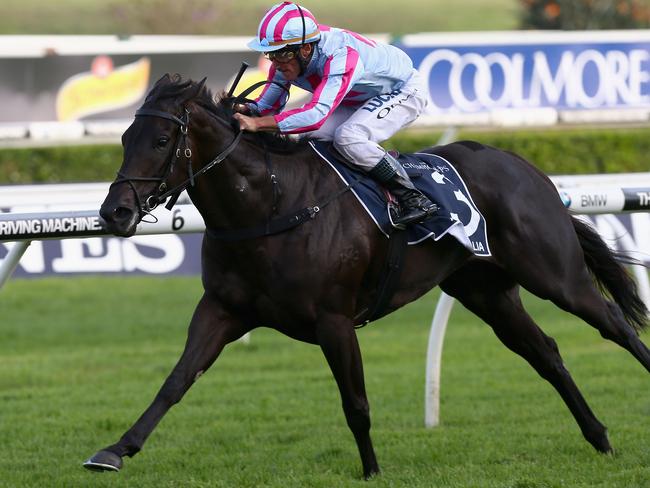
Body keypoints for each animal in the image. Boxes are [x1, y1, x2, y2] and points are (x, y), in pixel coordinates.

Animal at [86, 74, 648, 478]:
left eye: (162, 138)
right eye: (125, 137)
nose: (114, 212)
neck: (269, 205)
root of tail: (525, 167)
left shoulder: (334, 320)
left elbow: (354, 402)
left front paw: (372, 469)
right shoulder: (223, 310)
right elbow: (176, 381)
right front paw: (115, 450)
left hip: (555, 274)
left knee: (614, 324)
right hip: (486, 292)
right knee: (546, 353)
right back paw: (599, 437)